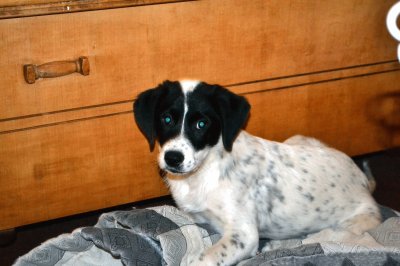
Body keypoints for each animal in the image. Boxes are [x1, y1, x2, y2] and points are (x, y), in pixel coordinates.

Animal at [134, 80, 382, 266]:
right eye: (166, 119)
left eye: (201, 124)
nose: (173, 158)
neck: (206, 168)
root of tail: (363, 180)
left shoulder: (243, 235)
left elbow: (204, 258)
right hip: (298, 139)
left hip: (347, 226)